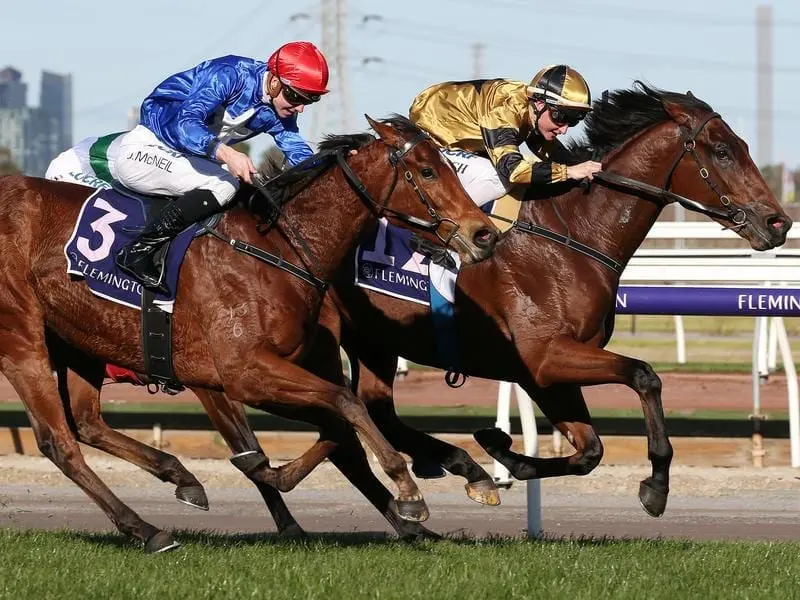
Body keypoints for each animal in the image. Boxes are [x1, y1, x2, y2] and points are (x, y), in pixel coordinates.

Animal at [1, 115, 500, 552]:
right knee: (59, 442)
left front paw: (274, 475)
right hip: (21, 339)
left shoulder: (267, 372)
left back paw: (179, 480)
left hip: (80, 343)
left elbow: (335, 426)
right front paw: (408, 491)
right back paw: (148, 530)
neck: (275, 248)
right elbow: (347, 404)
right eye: (428, 171)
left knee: (86, 423)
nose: (484, 234)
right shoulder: (243, 373)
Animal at [53, 82, 792, 536]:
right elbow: (645, 376)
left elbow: (588, 449)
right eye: (722, 149)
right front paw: (655, 486)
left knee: (365, 414)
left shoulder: (543, 372)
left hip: (364, 346)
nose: (778, 223)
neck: (570, 235)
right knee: (341, 419)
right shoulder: (549, 356)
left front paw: (505, 453)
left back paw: (442, 468)